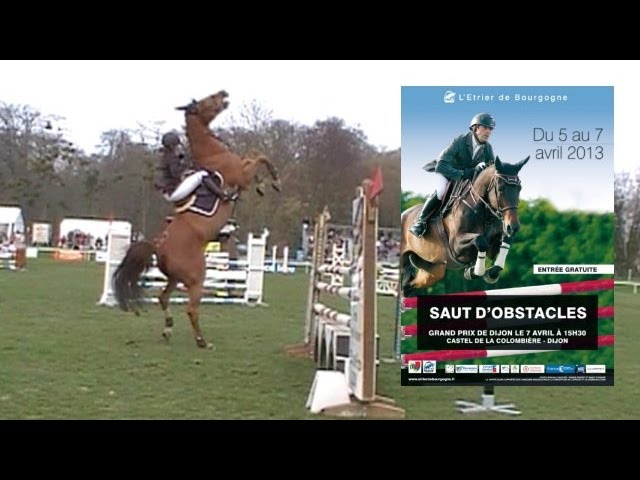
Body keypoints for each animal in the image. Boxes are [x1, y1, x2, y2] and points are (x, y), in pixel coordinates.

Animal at [114, 88, 278, 346]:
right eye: (206, 100)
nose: (223, 92)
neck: (213, 153)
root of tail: (158, 246)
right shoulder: (241, 174)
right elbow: (261, 158)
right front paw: (271, 182)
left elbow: (256, 158)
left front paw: (263, 183)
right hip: (196, 277)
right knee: (191, 309)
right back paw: (202, 341)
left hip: (175, 277)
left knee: (163, 298)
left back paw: (168, 330)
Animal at [400, 157, 528, 296]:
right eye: (500, 189)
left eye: (519, 188)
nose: (513, 227)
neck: (481, 210)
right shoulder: (455, 245)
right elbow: (480, 240)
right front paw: (474, 272)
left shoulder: (493, 245)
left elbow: (505, 242)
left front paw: (490, 273)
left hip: (434, 270)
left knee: (409, 285)